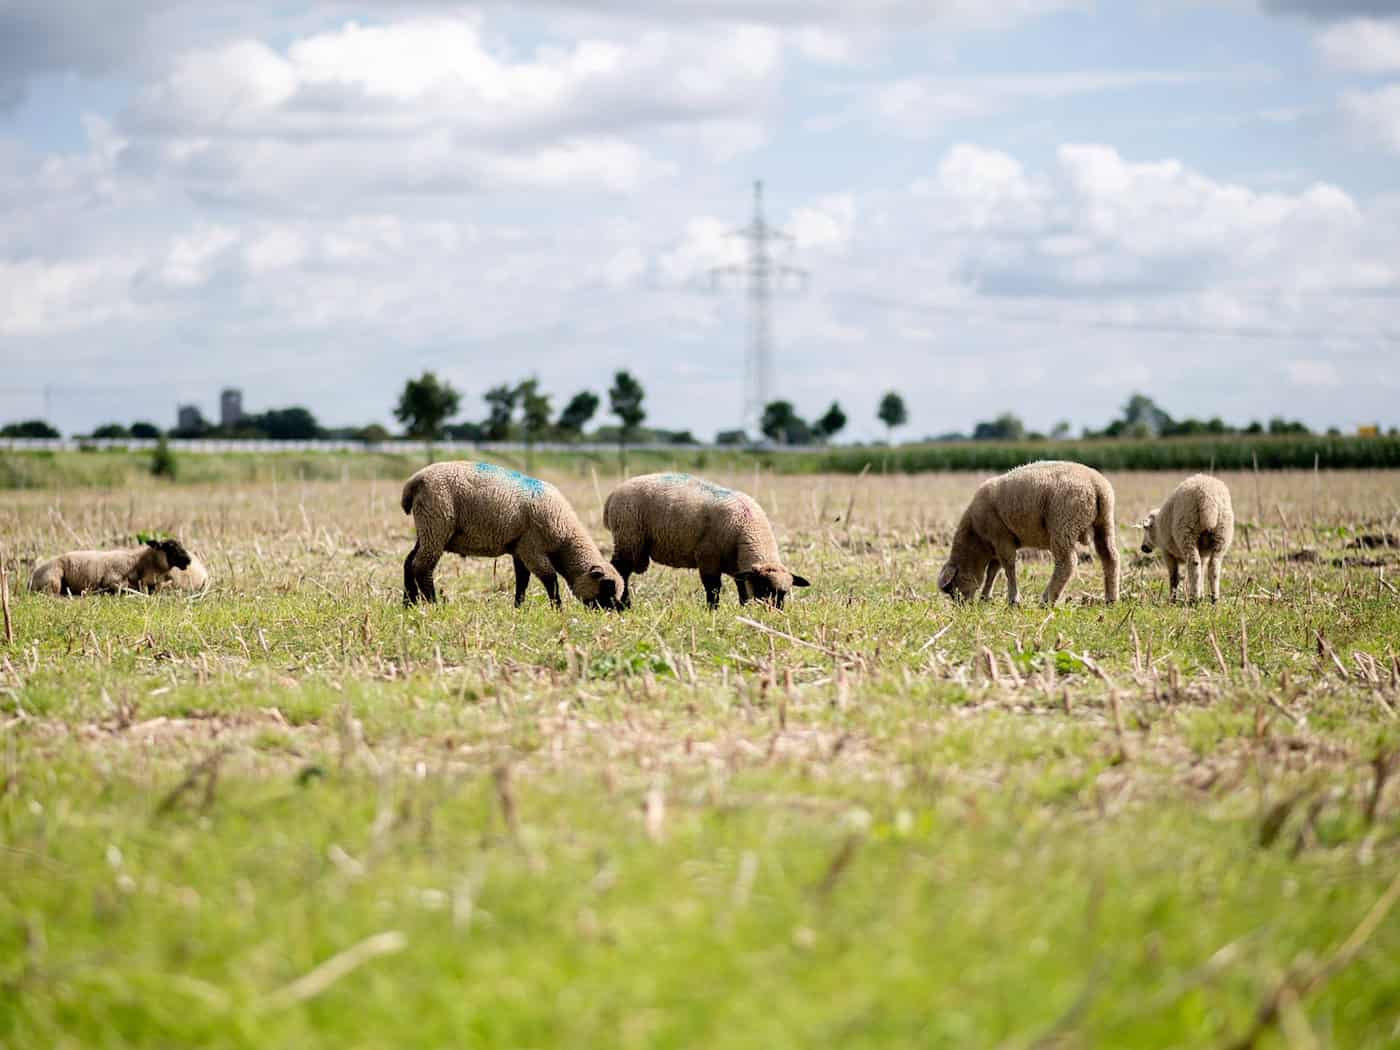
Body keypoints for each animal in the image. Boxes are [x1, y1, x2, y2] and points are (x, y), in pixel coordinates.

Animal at [28, 539, 193, 596]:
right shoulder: (112, 580)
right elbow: (127, 589)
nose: (189, 560)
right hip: (53, 579)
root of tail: (30, 579)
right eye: (171, 547)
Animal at [401, 461, 623, 609]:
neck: (564, 540)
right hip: (436, 523)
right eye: (607, 587)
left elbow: (522, 580)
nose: (615, 612)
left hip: (427, 528)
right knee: (422, 566)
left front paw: (518, 607)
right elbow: (549, 578)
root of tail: (415, 480)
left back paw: (409, 603)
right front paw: (558, 609)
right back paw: (433, 603)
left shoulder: (519, 548)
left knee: (409, 562)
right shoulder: (531, 547)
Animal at [603, 472, 810, 609]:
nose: (772, 613)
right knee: (620, 570)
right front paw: (713, 611)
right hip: (629, 537)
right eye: (764, 587)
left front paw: (744, 610)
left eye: (784, 593)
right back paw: (622, 605)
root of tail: (613, 494)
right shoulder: (708, 557)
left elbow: (742, 590)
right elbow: (713, 589)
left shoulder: (738, 569)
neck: (749, 530)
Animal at [936, 460, 1120, 606]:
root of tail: (1096, 484)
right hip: (1104, 523)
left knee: (1067, 563)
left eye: (952, 588)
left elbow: (1008, 566)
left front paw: (1013, 600)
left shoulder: (1001, 537)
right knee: (1110, 557)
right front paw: (986, 597)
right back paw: (1111, 599)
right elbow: (993, 570)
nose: (962, 607)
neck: (977, 538)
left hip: (1063, 524)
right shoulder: (997, 544)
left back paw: (1047, 600)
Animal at [1139, 474, 1234, 603]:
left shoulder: (1167, 552)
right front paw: (1201, 593)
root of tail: (1207, 496)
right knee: (1213, 566)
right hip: (1222, 535)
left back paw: (1194, 599)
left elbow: (1174, 576)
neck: (1158, 529)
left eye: (1146, 528)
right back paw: (1214, 599)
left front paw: (1172, 599)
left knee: (1194, 563)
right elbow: (1202, 571)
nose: (1143, 547)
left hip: (1186, 532)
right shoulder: (1203, 553)